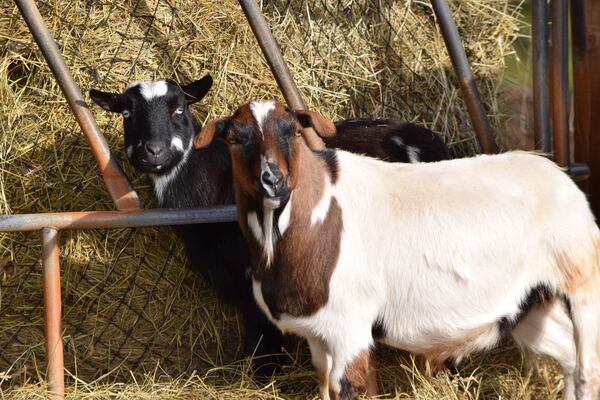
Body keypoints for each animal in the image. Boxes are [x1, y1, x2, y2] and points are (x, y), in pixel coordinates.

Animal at [196, 97, 600, 400]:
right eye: (235, 139)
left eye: (293, 131)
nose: (272, 181)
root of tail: (558, 175)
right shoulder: (318, 337)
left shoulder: (350, 328)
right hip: (529, 303)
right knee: (568, 357)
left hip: (581, 278)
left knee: (587, 370)